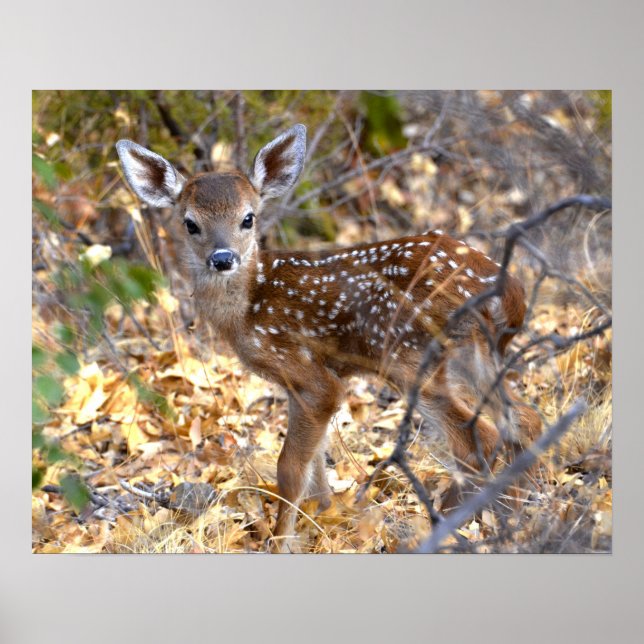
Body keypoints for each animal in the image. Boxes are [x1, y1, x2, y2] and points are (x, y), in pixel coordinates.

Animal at [116, 124, 542, 552]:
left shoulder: (307, 371)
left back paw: (445, 522)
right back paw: (518, 505)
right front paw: (323, 520)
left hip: (408, 354)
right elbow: (317, 463)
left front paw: (281, 542)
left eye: (248, 218)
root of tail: (509, 291)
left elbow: (289, 467)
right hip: (475, 354)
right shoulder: (301, 384)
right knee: (523, 418)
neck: (250, 306)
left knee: (478, 438)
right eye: (190, 223)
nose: (222, 258)